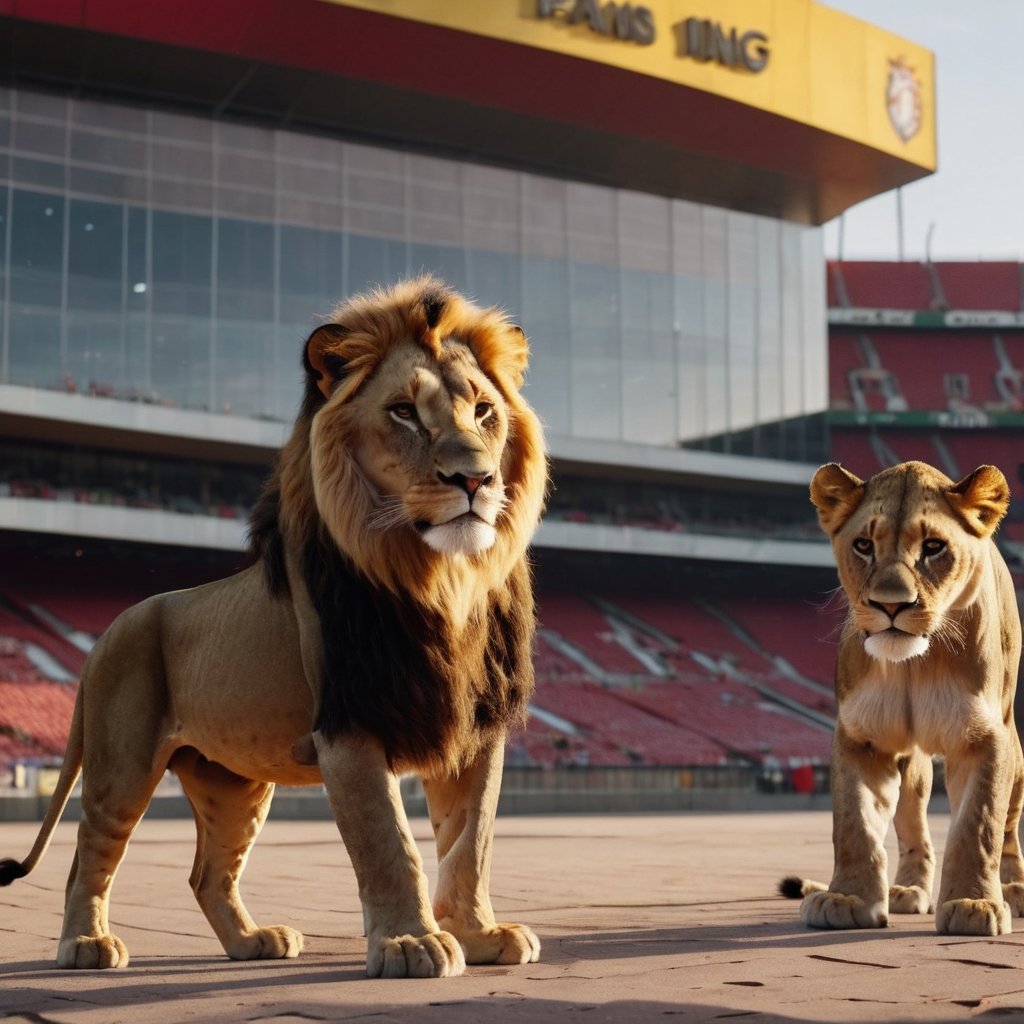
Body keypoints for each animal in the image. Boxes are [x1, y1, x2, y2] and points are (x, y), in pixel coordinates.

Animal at [0, 276, 548, 978]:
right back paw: (85, 945)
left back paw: (251, 942)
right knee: (88, 854)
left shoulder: (474, 727)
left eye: (483, 411)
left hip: (232, 784)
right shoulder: (349, 722)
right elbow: (389, 842)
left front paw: (479, 935)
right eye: (403, 412)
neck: (441, 580)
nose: (476, 478)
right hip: (120, 763)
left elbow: (469, 843)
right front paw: (410, 942)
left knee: (207, 874)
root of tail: (105, 634)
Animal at [780, 460, 1024, 936]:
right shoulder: (862, 737)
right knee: (914, 830)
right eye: (863, 545)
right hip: (912, 767)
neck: (915, 664)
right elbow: (854, 824)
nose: (890, 606)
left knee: (1008, 829)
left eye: (933, 547)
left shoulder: (987, 736)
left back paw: (1014, 890)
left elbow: (978, 824)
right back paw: (908, 890)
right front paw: (848, 898)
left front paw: (975, 903)